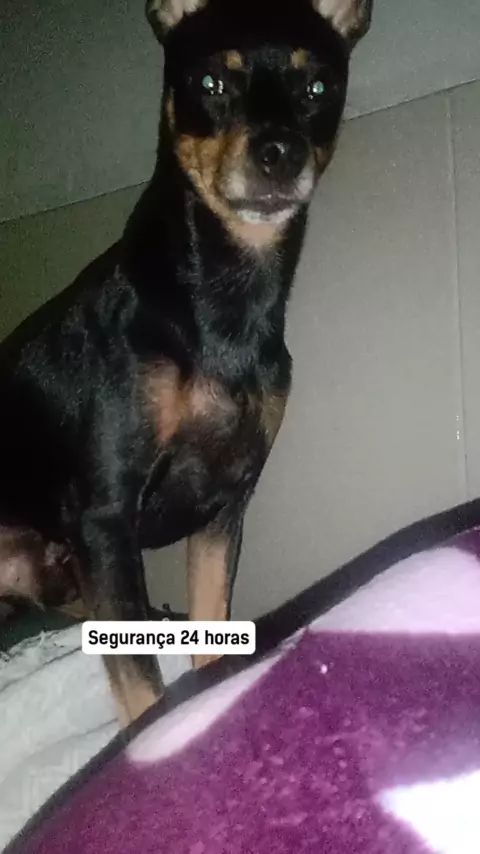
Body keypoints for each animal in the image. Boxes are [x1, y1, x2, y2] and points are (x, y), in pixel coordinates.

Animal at [0, 0, 372, 726]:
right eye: (210, 83)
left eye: (318, 88)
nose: (279, 153)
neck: (222, 307)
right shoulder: (106, 521)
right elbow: (142, 686)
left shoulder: (223, 510)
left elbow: (208, 633)